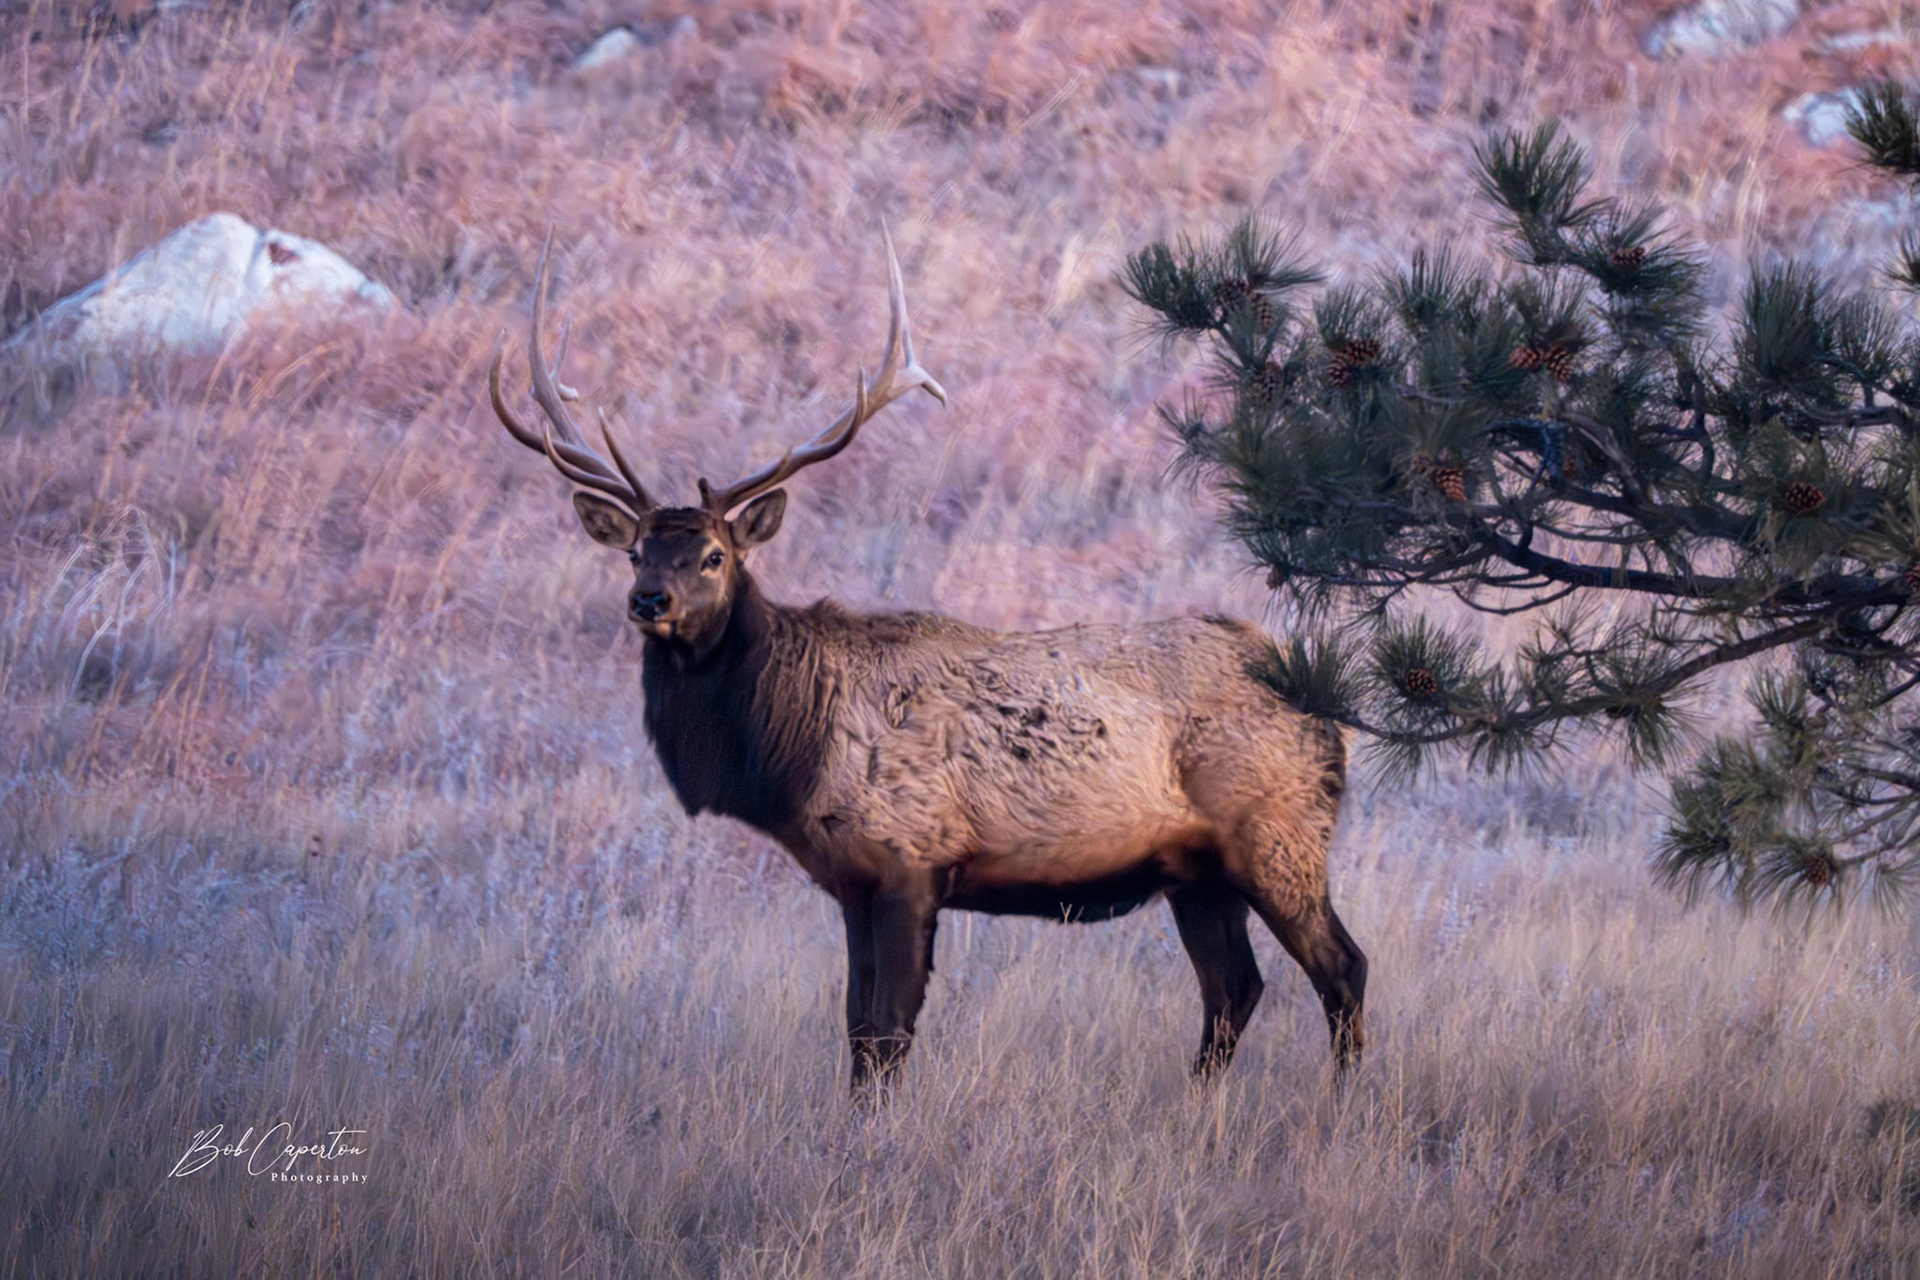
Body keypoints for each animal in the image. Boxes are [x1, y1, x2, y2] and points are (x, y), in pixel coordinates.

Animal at [487, 229, 1368, 1094]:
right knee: (1233, 988)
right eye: (636, 551)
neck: (791, 748)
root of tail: (1332, 716)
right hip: (1198, 871)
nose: (648, 602)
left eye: (712, 556)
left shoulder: (912, 858)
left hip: (1278, 831)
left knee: (1341, 969)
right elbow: (854, 1031)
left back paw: (1341, 1102)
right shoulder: (850, 880)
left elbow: (888, 1035)